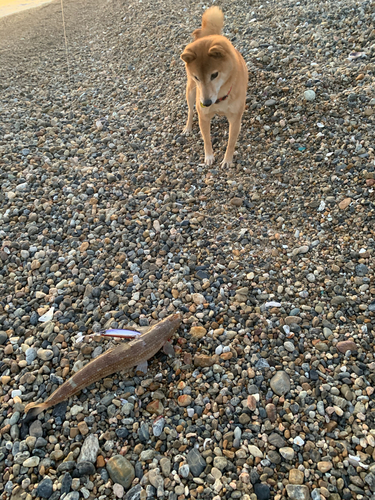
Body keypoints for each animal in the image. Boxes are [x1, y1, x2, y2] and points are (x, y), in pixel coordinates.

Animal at [181, 6, 248, 166]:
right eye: (197, 77)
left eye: (214, 75)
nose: (206, 103)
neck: (220, 98)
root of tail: (209, 35)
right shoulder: (204, 117)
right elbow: (206, 139)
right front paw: (209, 156)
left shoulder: (235, 119)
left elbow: (231, 142)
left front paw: (227, 160)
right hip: (190, 92)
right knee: (190, 110)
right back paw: (187, 127)